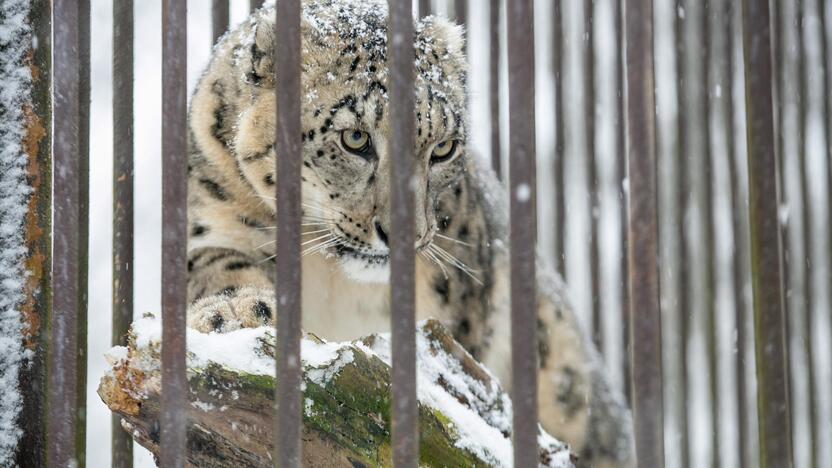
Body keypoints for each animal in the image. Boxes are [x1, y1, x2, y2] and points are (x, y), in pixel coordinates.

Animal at [185, 1, 632, 466]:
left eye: (443, 148)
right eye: (355, 137)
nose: (406, 233)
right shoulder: (211, 218)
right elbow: (217, 264)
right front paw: (240, 310)